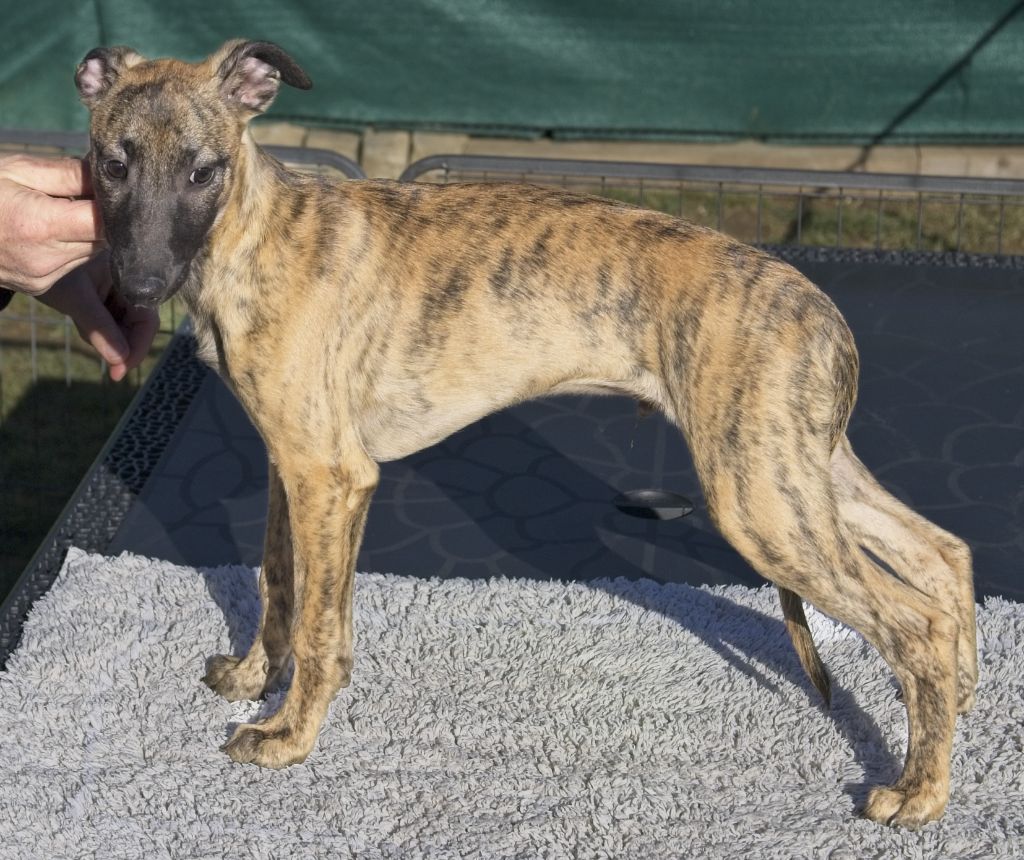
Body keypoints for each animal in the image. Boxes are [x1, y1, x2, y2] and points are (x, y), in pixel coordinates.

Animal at [75, 40, 977, 827]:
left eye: (203, 170)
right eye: (113, 165)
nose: (141, 287)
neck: (253, 232)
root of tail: (821, 310)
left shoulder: (331, 474)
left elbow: (321, 626)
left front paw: (289, 736)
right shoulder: (289, 465)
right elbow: (276, 586)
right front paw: (255, 678)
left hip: (759, 498)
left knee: (911, 624)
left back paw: (919, 792)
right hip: (798, 469)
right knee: (942, 553)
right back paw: (959, 707)